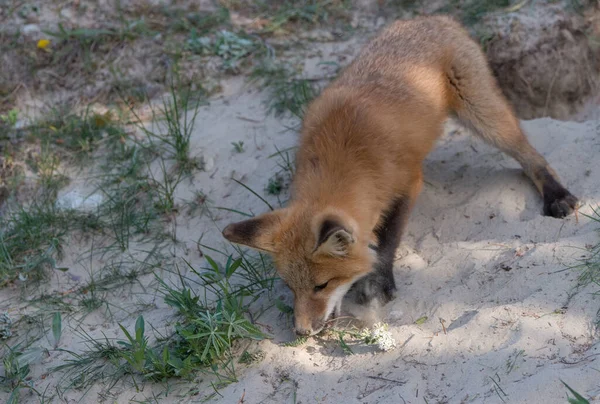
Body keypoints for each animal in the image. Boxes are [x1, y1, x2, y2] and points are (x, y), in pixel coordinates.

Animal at [223, 15, 580, 336]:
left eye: (321, 285)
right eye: (290, 286)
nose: (302, 332)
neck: (342, 157)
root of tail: (434, 18)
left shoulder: (407, 183)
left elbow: (388, 239)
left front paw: (379, 281)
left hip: (483, 115)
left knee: (530, 155)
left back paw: (557, 195)